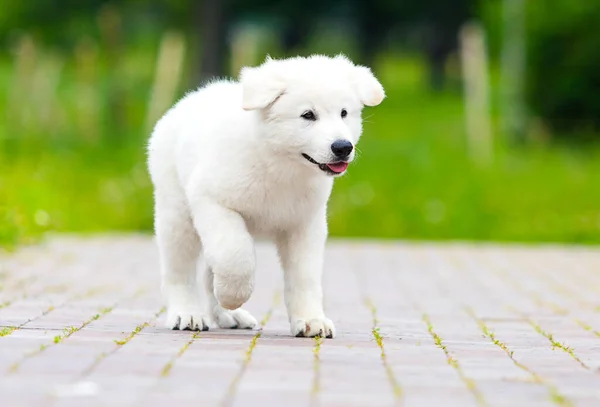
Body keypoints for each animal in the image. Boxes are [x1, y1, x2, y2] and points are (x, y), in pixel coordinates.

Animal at [148, 55, 386, 342]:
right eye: (308, 115)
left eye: (344, 113)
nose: (343, 147)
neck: (279, 164)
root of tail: (190, 99)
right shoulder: (212, 202)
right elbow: (235, 255)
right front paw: (232, 295)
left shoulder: (305, 224)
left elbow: (305, 276)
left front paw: (311, 320)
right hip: (177, 215)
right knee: (179, 271)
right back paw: (188, 313)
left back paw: (229, 316)